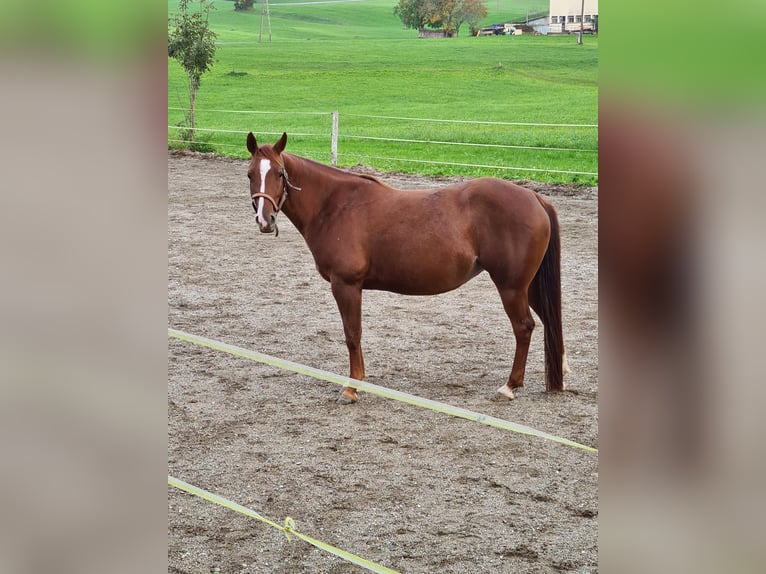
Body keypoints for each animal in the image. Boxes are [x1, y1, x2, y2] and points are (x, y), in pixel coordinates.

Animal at [245, 132, 567, 404]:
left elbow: (353, 334)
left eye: (279, 174)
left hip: (511, 287)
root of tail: (534, 197)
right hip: (528, 286)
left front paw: (352, 387)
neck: (334, 205)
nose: (265, 220)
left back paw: (510, 386)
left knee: (524, 328)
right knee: (549, 322)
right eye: (250, 174)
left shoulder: (346, 285)